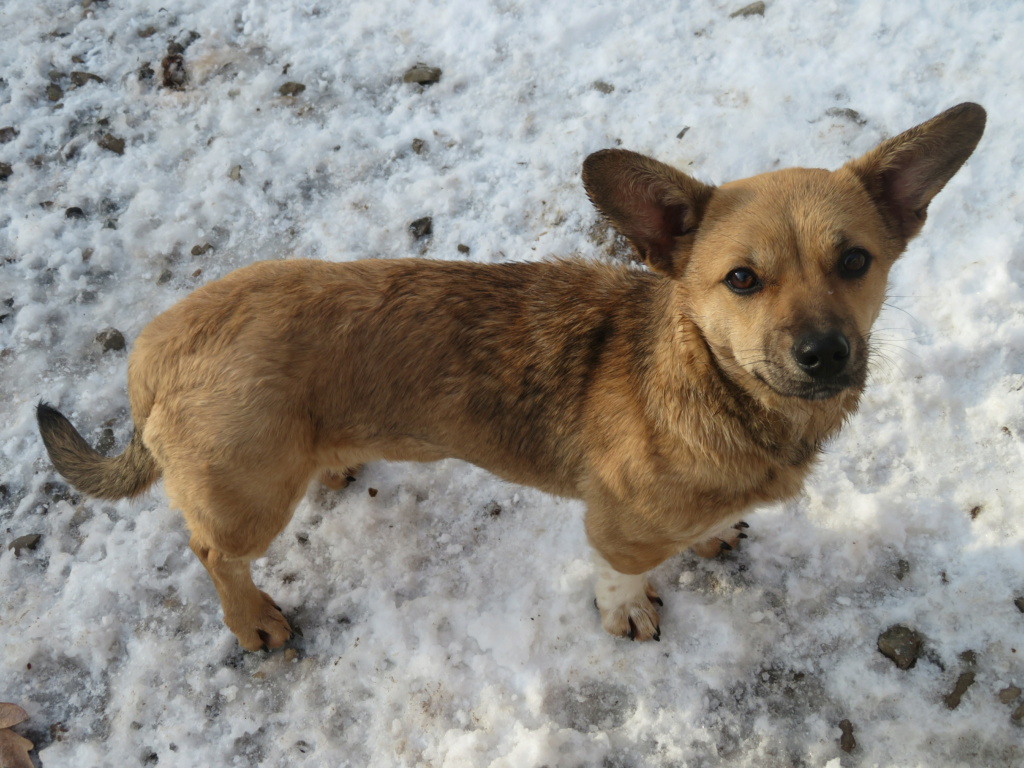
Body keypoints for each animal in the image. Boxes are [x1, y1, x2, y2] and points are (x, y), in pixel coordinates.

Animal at [37, 105, 983, 651]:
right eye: (742, 280)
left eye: (855, 261)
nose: (825, 355)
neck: (713, 383)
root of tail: (155, 350)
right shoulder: (616, 527)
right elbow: (621, 576)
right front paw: (630, 613)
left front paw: (714, 537)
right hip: (248, 499)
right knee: (210, 550)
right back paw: (253, 619)